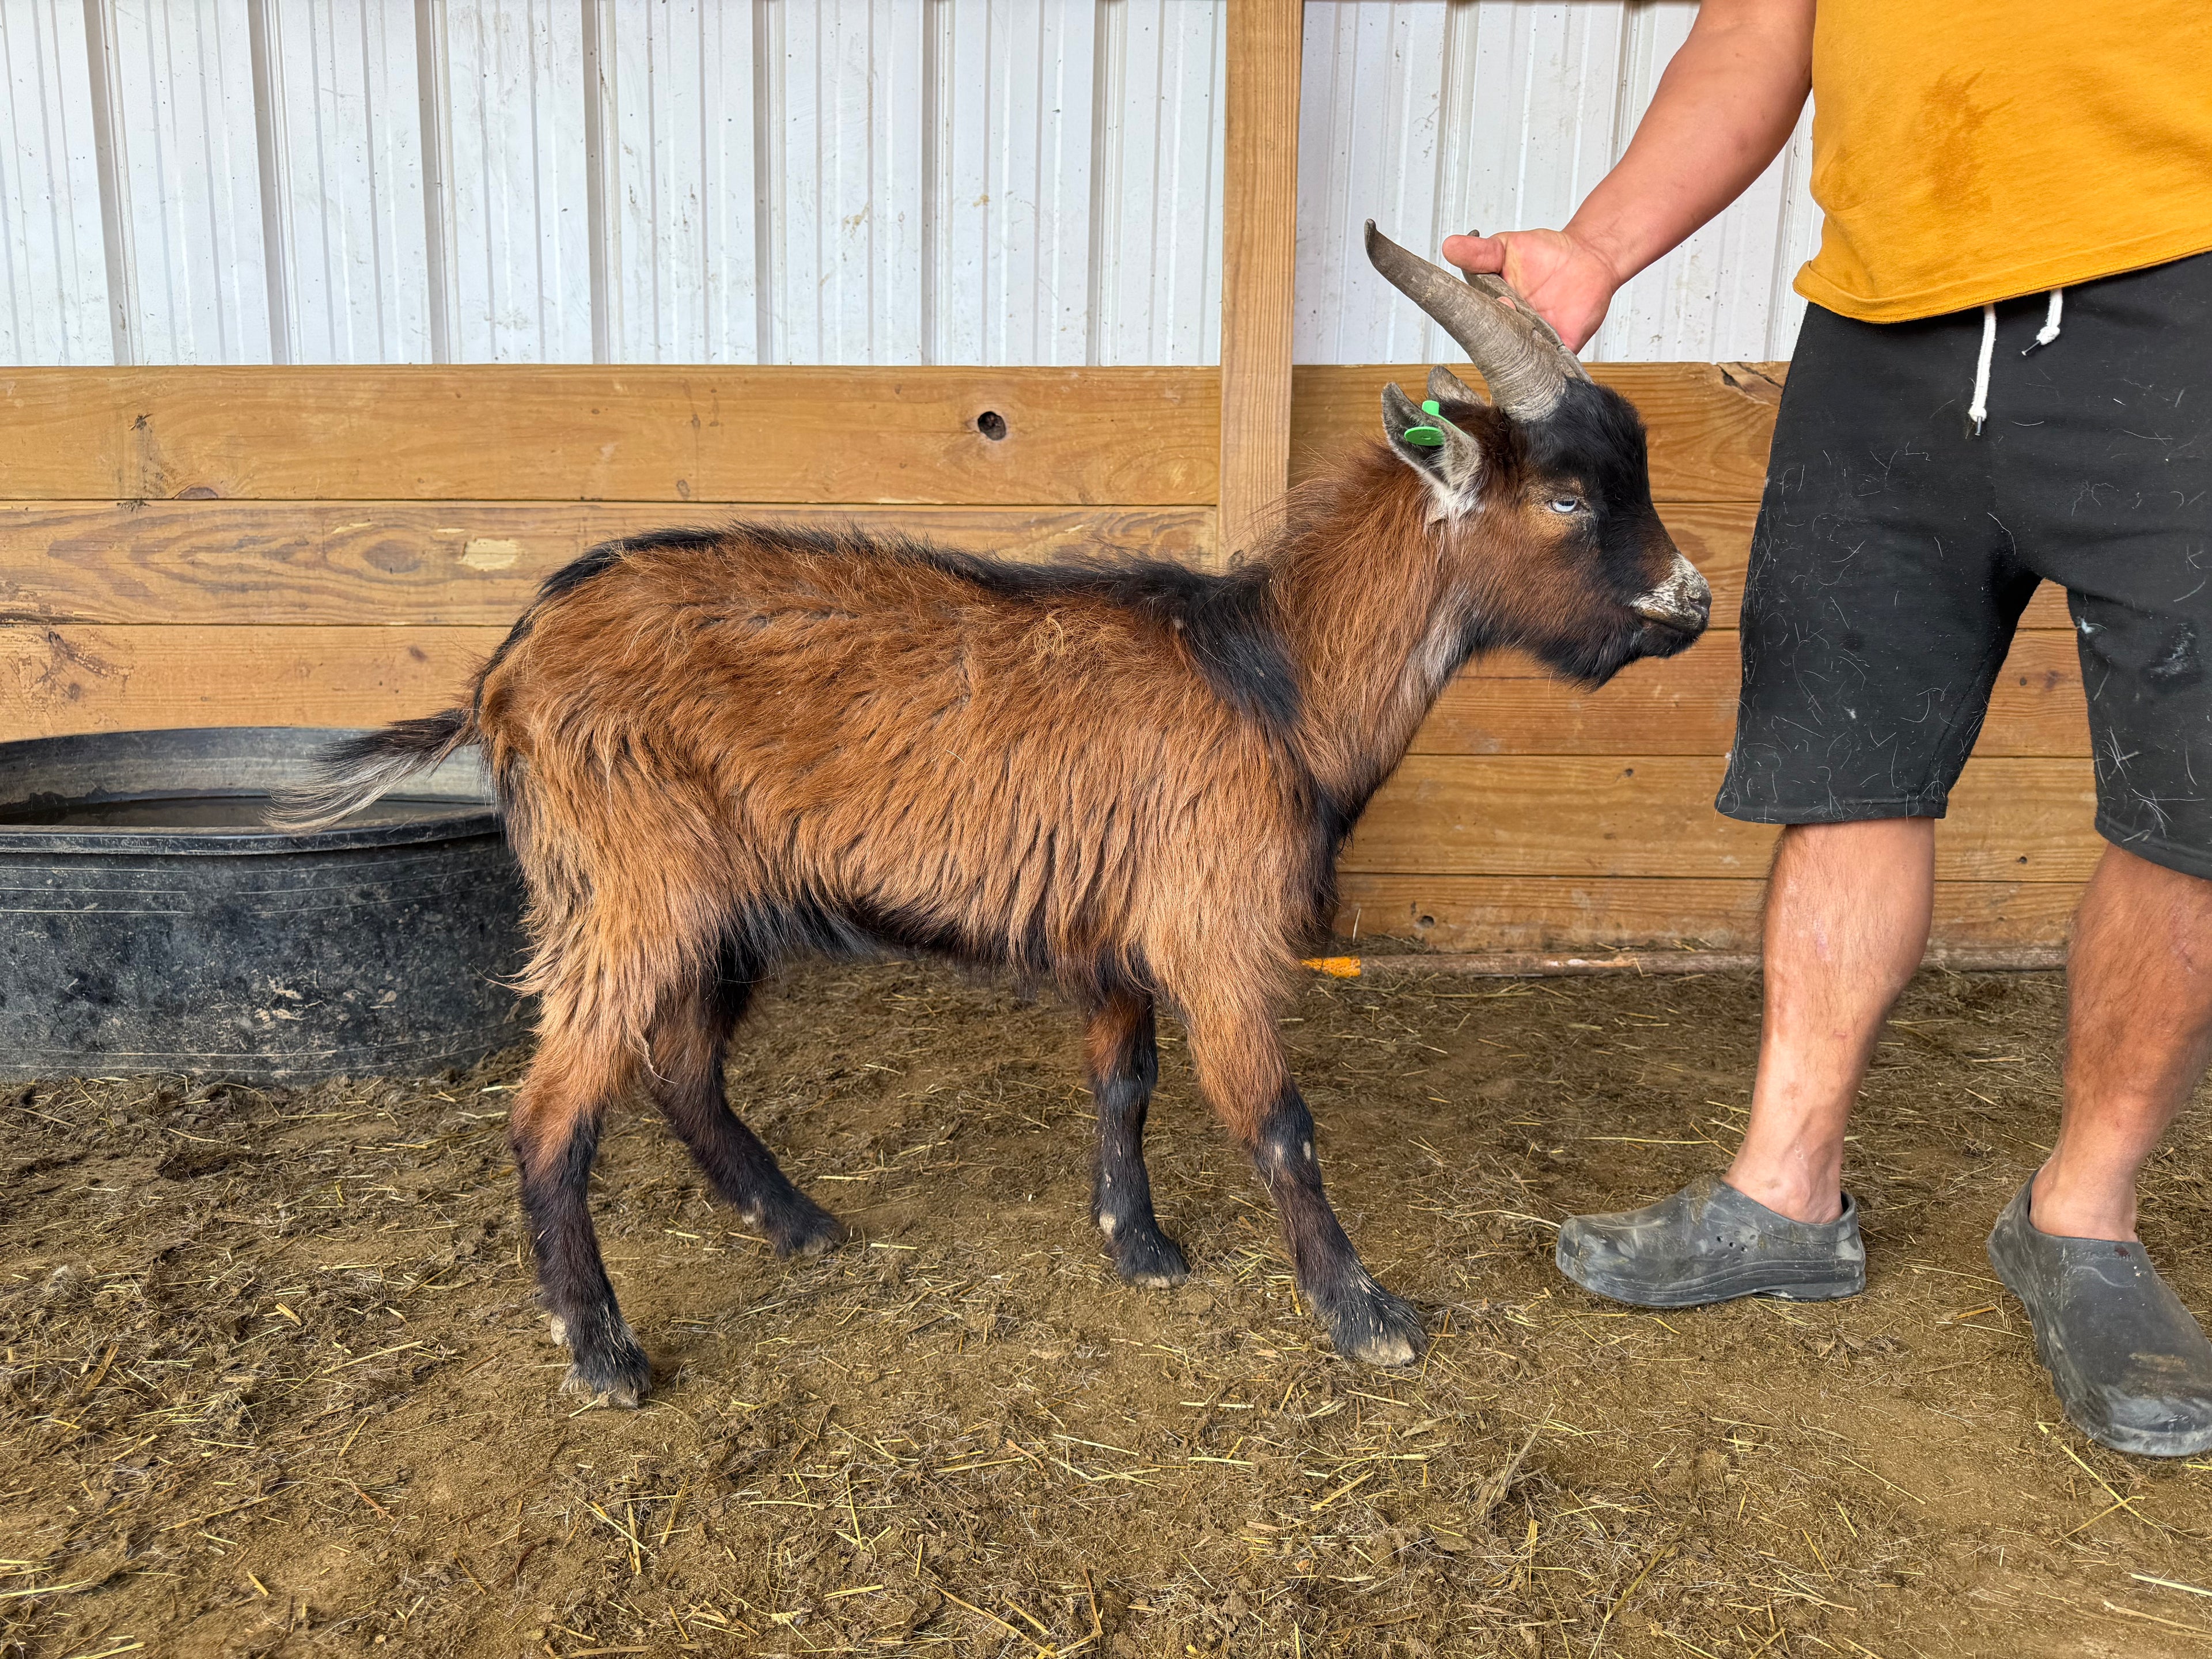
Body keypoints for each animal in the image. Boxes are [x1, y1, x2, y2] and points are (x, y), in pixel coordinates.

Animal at [276, 226, 1712, 1405]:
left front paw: (1138, 1245)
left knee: (681, 1063)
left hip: (720, 895)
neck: (1274, 678)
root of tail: (509, 664)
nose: (1694, 604)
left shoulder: (1118, 922)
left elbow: (1125, 1081)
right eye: (1570, 499)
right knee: (554, 1108)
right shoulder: (1215, 923)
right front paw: (1365, 1317)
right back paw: (604, 1351)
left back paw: (796, 1224)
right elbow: (1279, 1121)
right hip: (629, 885)